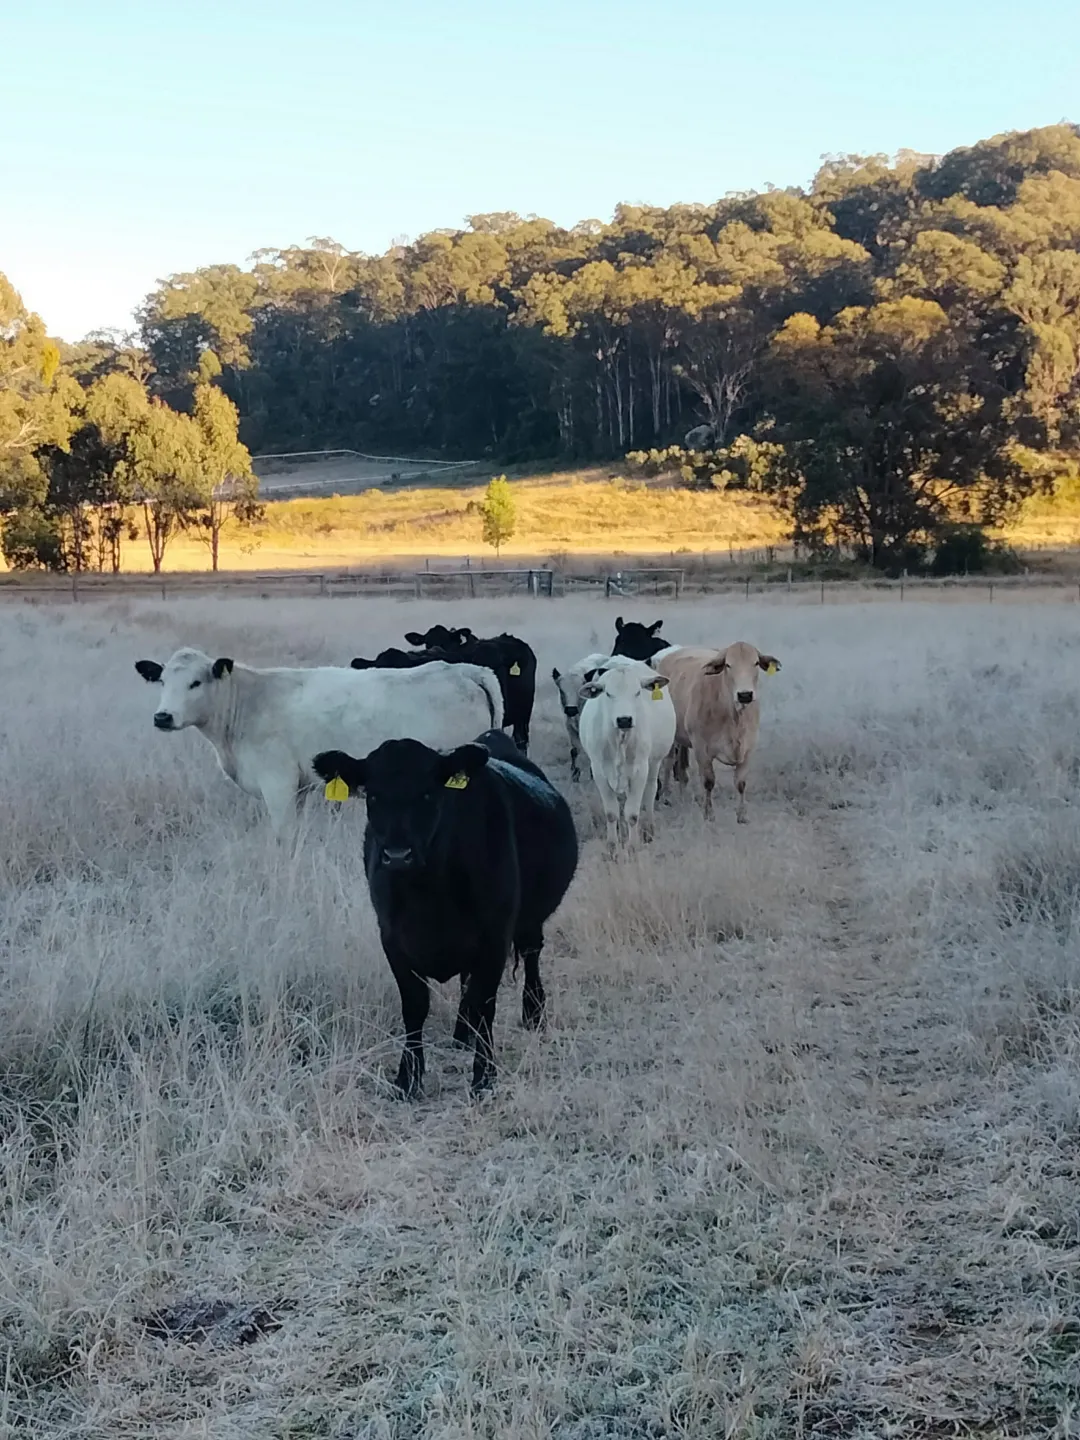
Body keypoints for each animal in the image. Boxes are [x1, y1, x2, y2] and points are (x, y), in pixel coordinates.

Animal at [133, 647, 502, 833]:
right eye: (162, 681)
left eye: (195, 683)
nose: (162, 717)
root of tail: (464, 669)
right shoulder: (298, 789)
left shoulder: (277, 783)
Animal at [311, 729, 578, 1099]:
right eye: (373, 796)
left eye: (428, 792)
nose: (397, 855)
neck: (428, 896)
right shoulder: (392, 938)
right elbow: (415, 1006)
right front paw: (408, 1078)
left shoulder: (495, 937)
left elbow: (485, 1004)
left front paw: (484, 1077)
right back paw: (462, 1033)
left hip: (529, 921)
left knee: (531, 954)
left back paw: (533, 1013)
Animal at [577, 658, 677, 853]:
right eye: (608, 694)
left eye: (637, 692)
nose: (624, 719)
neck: (619, 741)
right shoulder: (599, 772)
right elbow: (611, 813)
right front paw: (612, 846)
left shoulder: (640, 771)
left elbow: (632, 814)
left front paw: (632, 847)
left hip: (654, 763)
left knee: (650, 791)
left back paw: (649, 829)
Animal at [655, 642, 781, 823]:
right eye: (728, 665)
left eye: (756, 663)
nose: (745, 695)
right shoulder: (701, 749)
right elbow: (708, 781)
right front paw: (708, 814)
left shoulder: (748, 748)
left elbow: (741, 783)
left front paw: (742, 815)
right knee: (669, 762)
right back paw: (666, 795)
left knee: (681, 768)